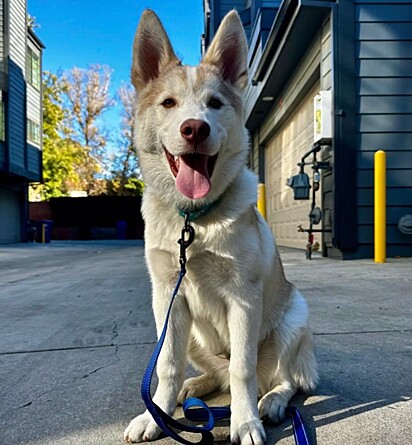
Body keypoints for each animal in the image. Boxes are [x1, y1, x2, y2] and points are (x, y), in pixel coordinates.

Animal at [124, 10, 318, 444]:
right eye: (168, 103)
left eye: (214, 104)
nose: (194, 128)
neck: (194, 219)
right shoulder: (167, 297)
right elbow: (167, 365)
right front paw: (156, 414)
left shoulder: (243, 299)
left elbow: (242, 369)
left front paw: (245, 423)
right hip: (192, 333)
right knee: (214, 373)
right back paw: (194, 387)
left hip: (294, 319)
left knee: (282, 379)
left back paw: (271, 402)